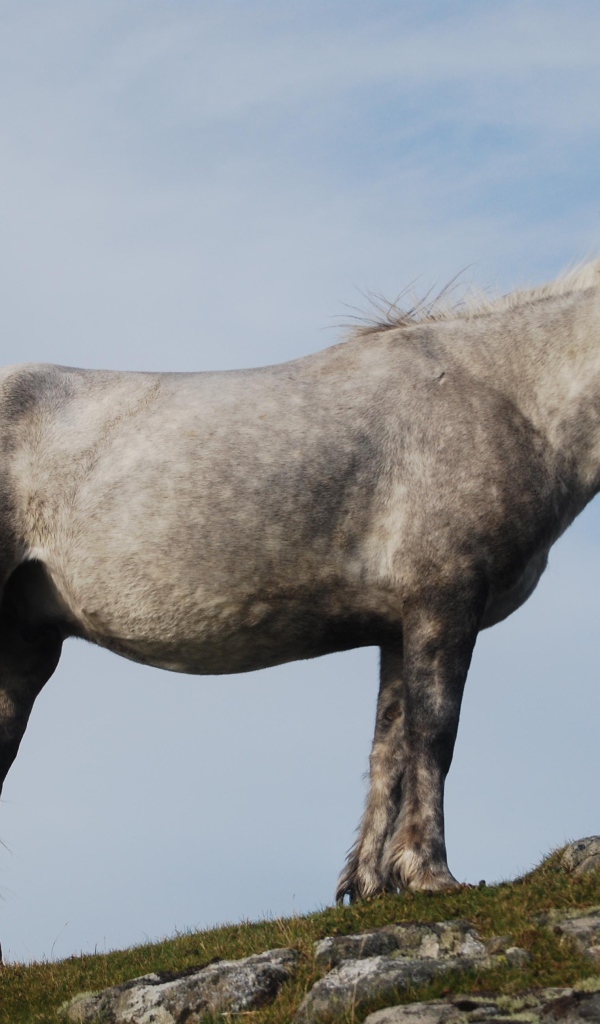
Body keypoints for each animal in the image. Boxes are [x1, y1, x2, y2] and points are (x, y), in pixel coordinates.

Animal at [0, 258, 599, 906]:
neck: (509, 396)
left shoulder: (397, 625)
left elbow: (388, 749)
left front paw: (369, 883)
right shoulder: (444, 599)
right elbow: (435, 734)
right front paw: (429, 872)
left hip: (26, 648)